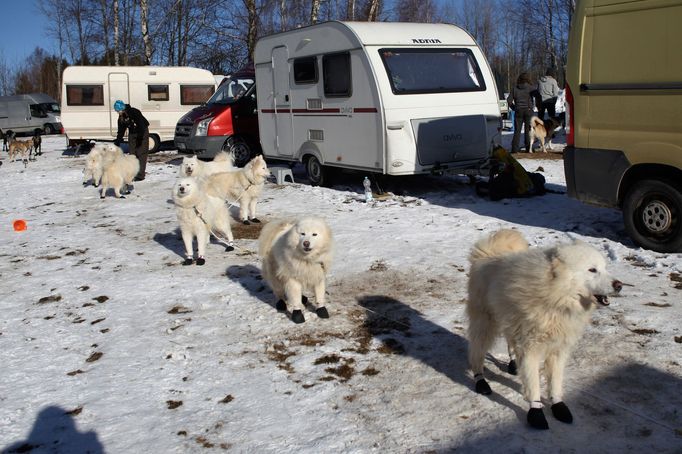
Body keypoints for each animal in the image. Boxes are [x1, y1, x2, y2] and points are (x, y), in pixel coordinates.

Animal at [464, 229, 620, 430]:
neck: (555, 299)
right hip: (484, 324)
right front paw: (536, 412)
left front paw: (558, 406)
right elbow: (533, 384)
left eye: (605, 268)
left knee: (509, 341)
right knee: (477, 351)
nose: (619, 285)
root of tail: (488, 252)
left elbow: (555, 382)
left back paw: (513, 364)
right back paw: (480, 380)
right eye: (592, 270)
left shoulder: (558, 350)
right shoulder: (530, 349)